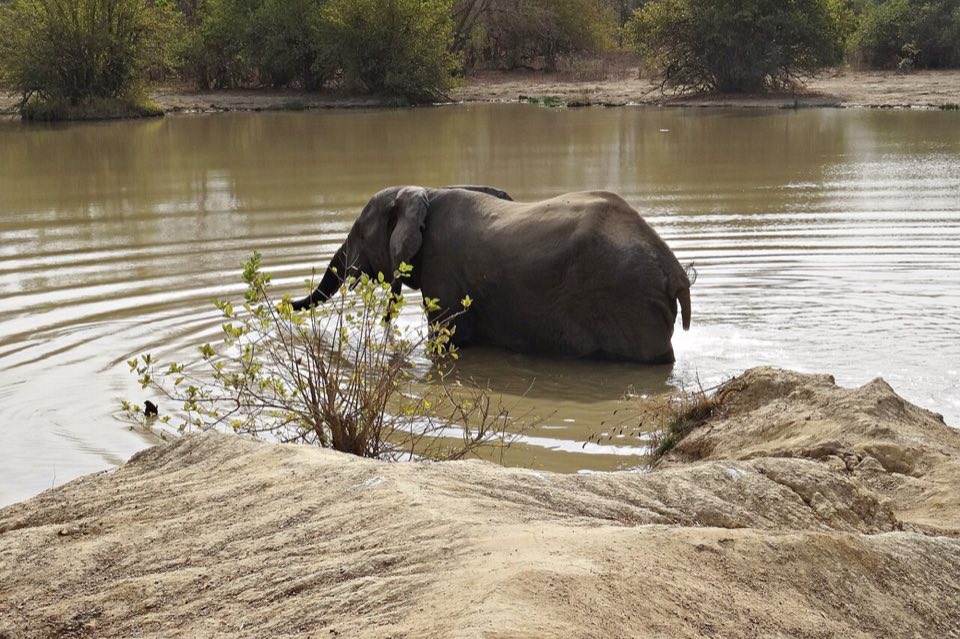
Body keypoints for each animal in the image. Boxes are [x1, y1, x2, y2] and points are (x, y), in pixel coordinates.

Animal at [291, 185, 692, 364]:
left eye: (360, 233)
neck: (423, 192)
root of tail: (675, 273)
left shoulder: (444, 273)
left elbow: (446, 339)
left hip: (628, 300)